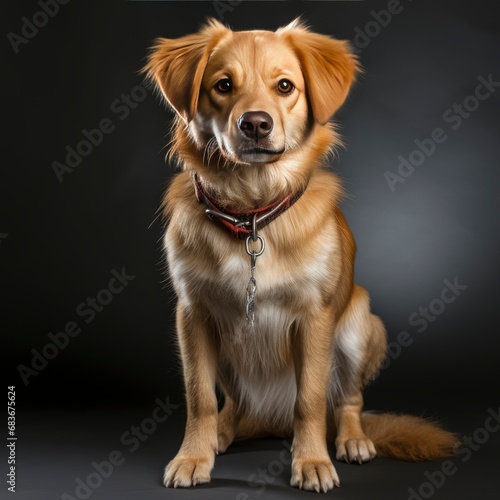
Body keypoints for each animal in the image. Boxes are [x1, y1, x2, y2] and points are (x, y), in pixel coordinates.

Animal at [144, 17, 458, 490]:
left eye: (285, 86)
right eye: (223, 85)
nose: (255, 124)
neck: (252, 212)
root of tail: (269, 419)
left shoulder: (314, 316)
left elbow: (309, 399)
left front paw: (311, 461)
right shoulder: (193, 313)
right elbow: (199, 397)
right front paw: (192, 456)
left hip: (361, 325)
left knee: (347, 401)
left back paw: (350, 440)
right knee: (234, 405)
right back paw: (222, 432)